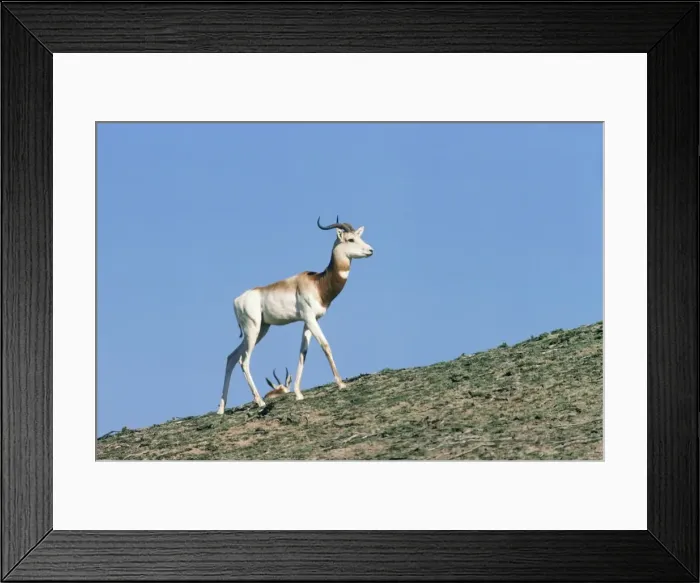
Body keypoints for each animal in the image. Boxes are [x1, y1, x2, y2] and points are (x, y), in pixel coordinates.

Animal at [216, 216, 374, 414]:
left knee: (231, 357)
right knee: (244, 361)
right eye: (350, 239)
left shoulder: (308, 321)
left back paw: (221, 409)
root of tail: (238, 300)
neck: (318, 283)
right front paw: (341, 384)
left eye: (360, 237)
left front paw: (298, 393)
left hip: (261, 329)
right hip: (252, 329)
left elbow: (303, 352)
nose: (371, 250)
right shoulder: (310, 318)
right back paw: (260, 402)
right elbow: (325, 345)